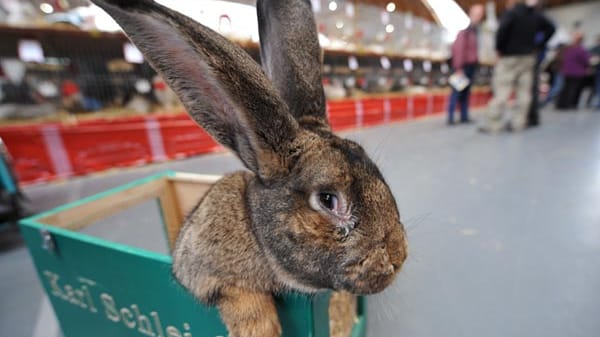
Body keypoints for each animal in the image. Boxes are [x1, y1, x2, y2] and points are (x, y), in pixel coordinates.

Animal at [90, 0, 408, 336]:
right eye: (327, 200)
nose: (398, 257)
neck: (255, 229)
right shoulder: (203, 272)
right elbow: (239, 296)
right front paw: (261, 329)